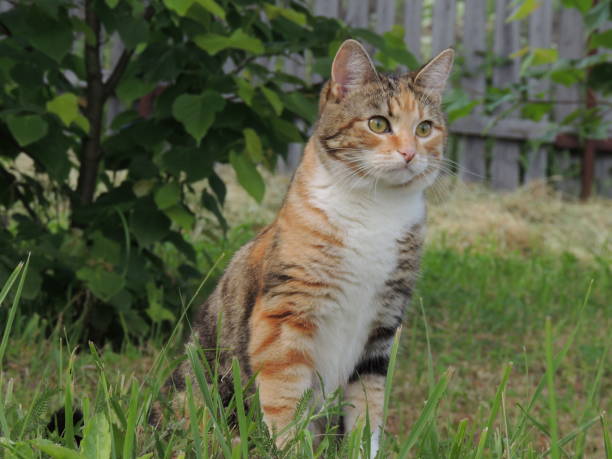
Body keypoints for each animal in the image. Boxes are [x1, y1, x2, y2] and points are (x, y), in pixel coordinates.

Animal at [158, 39, 454, 456]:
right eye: (378, 123)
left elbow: (368, 411)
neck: (376, 211)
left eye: (425, 128)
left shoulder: (381, 332)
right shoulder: (284, 319)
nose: (410, 153)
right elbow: (286, 406)